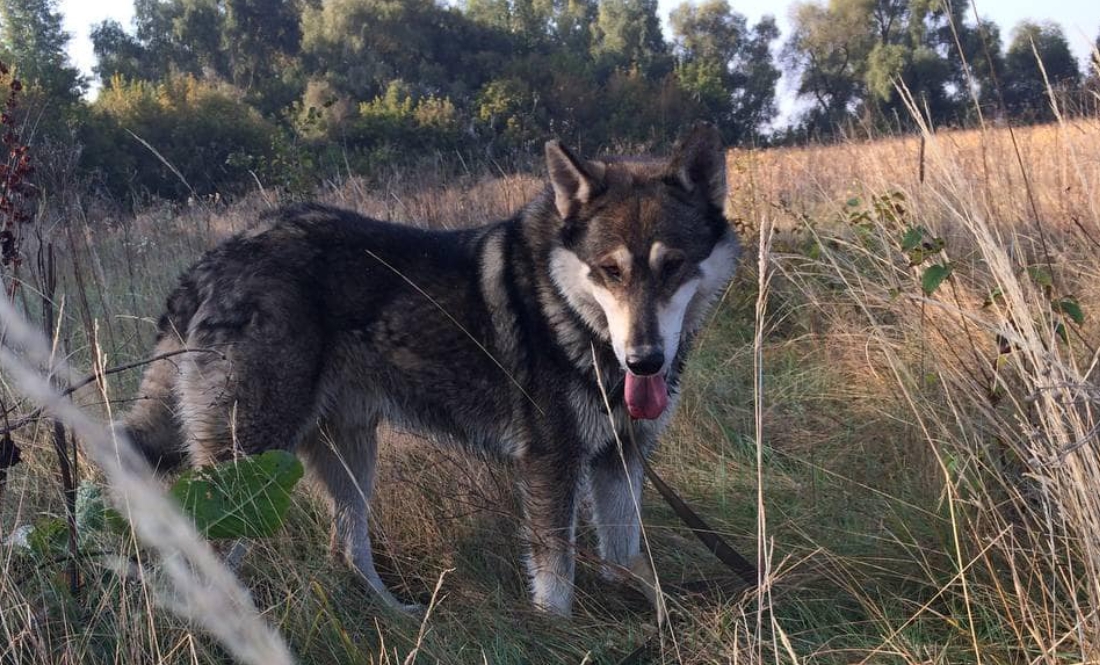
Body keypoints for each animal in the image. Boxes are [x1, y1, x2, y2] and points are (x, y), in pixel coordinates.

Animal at [118, 123, 739, 611]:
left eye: (674, 266)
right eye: (609, 270)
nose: (644, 360)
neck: (570, 315)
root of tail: (213, 261)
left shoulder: (622, 459)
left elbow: (623, 560)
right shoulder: (551, 466)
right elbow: (557, 582)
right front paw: (561, 631)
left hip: (350, 456)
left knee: (347, 552)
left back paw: (399, 617)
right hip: (248, 474)